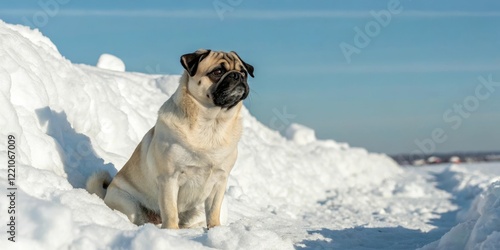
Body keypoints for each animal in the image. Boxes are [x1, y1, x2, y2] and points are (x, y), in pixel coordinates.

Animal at [85, 48, 254, 229]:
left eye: (244, 72)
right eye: (218, 72)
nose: (237, 76)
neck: (212, 124)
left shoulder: (219, 181)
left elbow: (214, 211)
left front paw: (215, 229)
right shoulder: (169, 178)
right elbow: (170, 210)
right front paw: (171, 231)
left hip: (197, 211)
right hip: (128, 203)